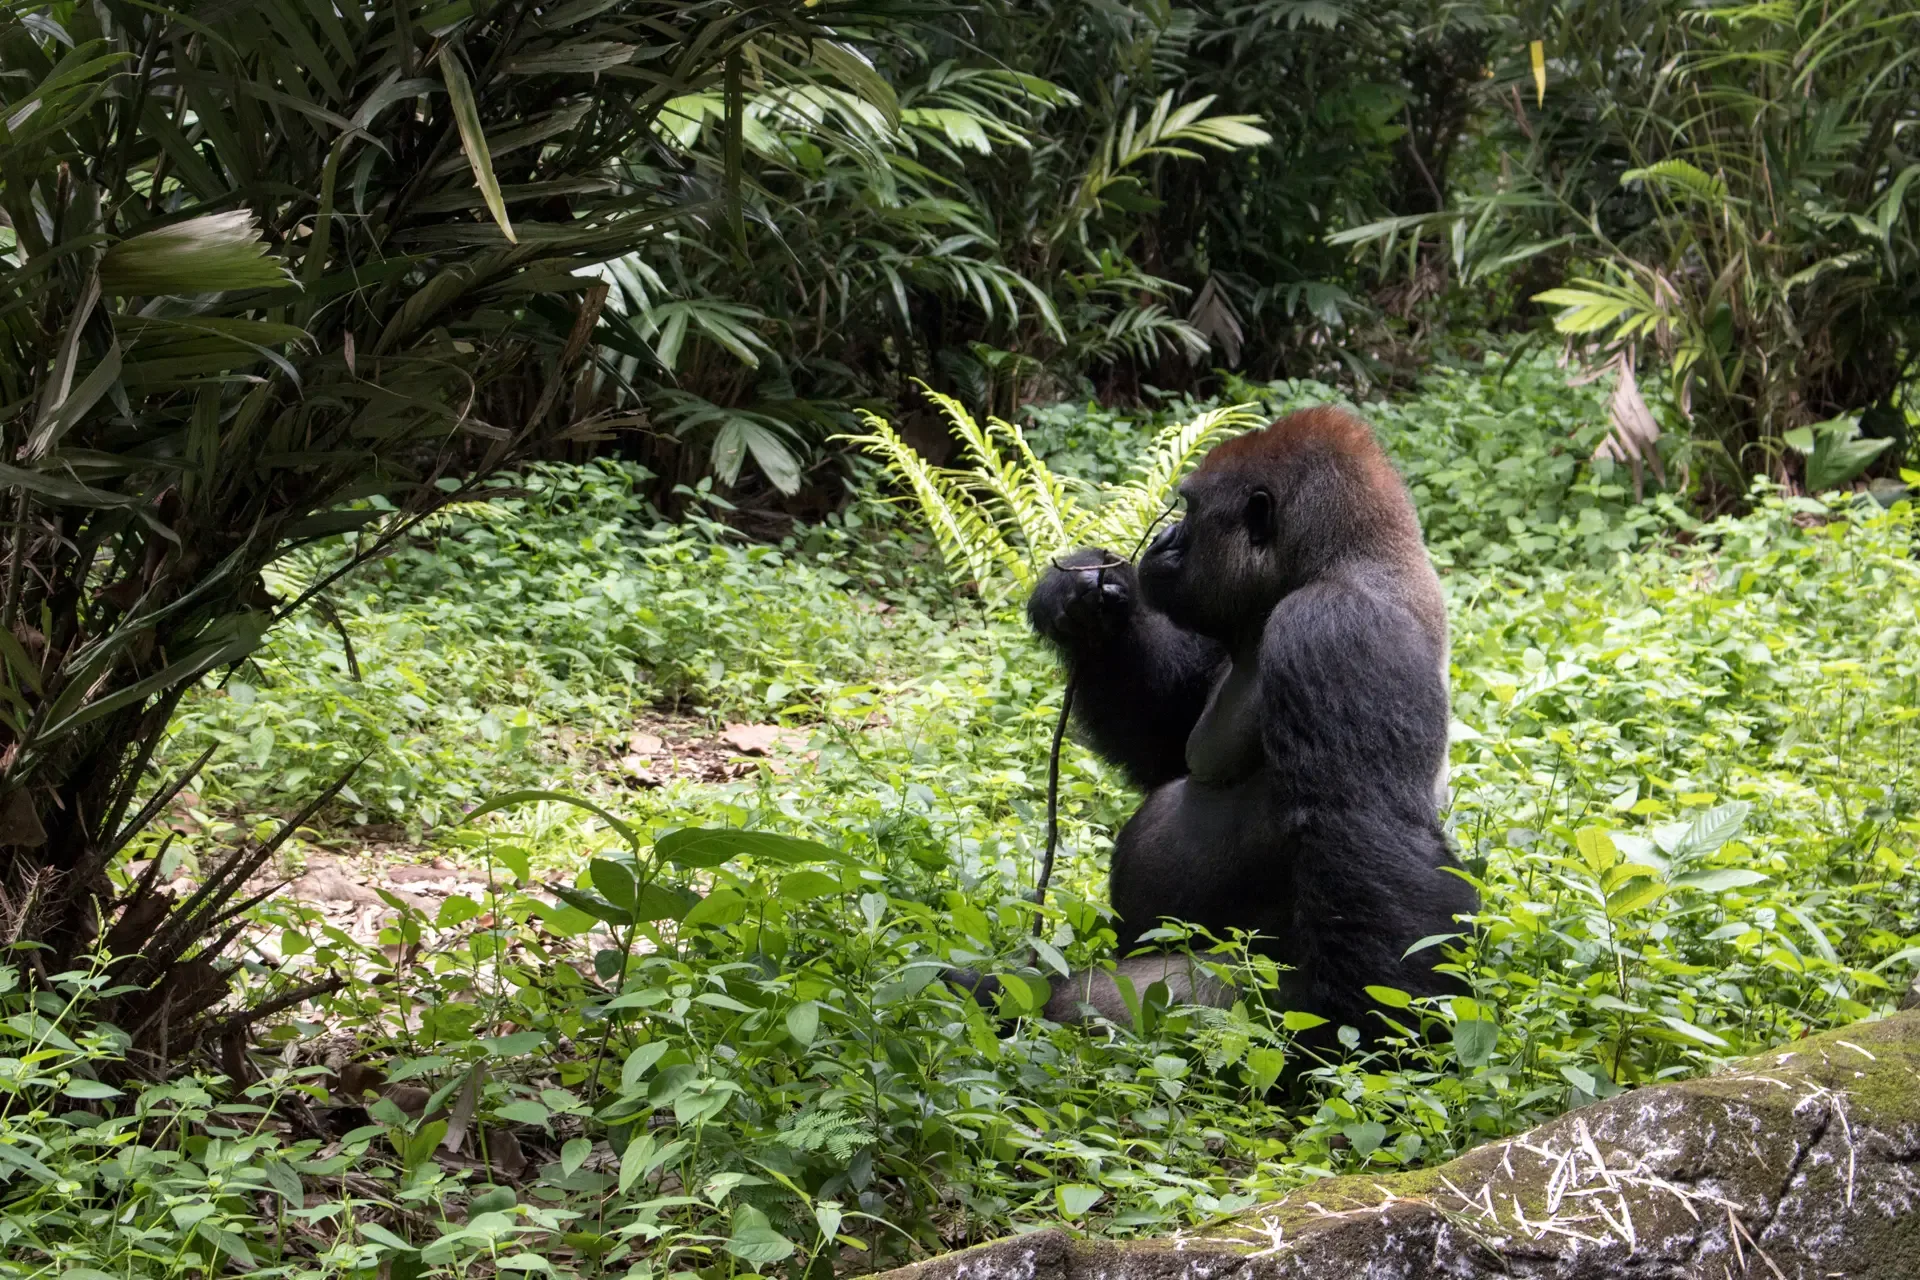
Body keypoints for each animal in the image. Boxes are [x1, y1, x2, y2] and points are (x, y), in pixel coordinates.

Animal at [951, 407, 1475, 1045]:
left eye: (1190, 511)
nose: (1161, 540)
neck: (1336, 562)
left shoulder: (1336, 629)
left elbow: (1367, 830)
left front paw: (1367, 1043)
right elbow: (1166, 745)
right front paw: (1084, 603)